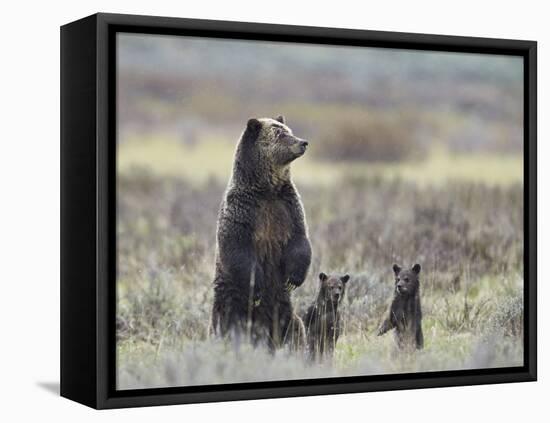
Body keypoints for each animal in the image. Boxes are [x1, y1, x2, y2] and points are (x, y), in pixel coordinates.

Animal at [211, 116, 312, 352]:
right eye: (280, 134)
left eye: (289, 130)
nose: (303, 142)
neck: (267, 190)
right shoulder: (243, 212)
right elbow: (238, 249)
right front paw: (255, 288)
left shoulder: (288, 207)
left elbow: (300, 240)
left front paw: (294, 278)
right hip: (229, 299)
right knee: (227, 324)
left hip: (283, 307)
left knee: (293, 326)